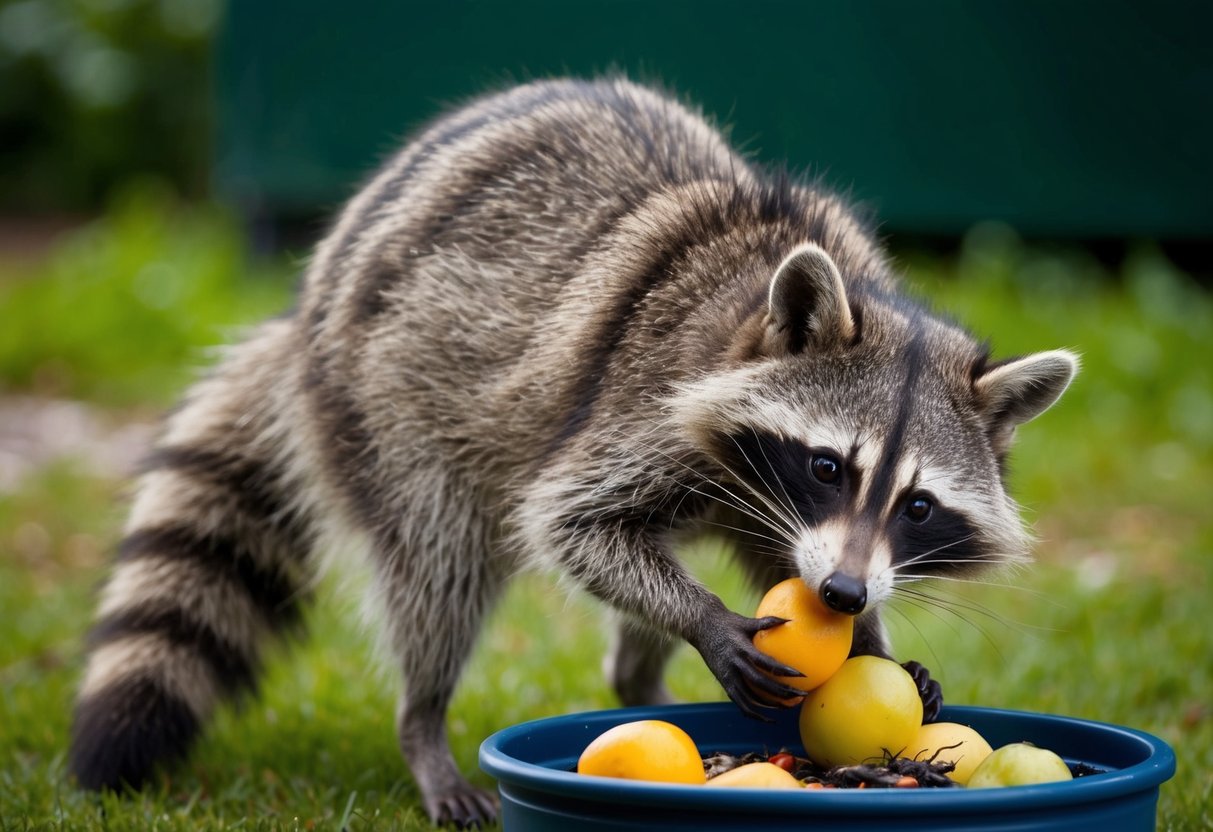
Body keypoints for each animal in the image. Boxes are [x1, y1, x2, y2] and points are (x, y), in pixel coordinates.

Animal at [69, 78, 1077, 826]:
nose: (840, 596)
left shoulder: (779, 516)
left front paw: (872, 639)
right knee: (438, 571)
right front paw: (705, 617)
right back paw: (423, 722)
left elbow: (762, 560)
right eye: (829, 467)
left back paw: (637, 679)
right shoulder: (644, 401)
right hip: (385, 404)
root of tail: (302, 314)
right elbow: (570, 522)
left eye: (917, 504)